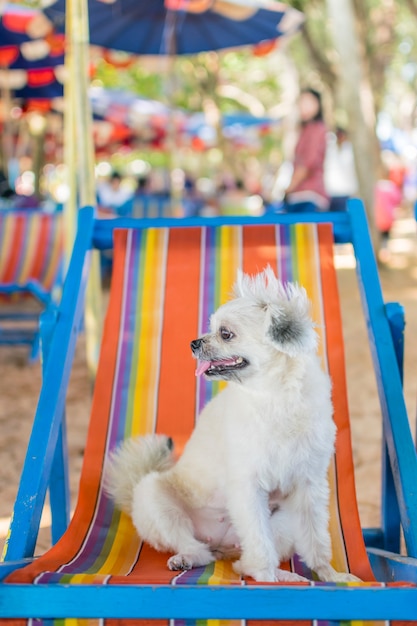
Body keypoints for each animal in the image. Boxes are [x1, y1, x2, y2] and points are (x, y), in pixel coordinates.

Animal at [105, 266, 358, 584]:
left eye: (226, 334)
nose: (194, 342)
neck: (275, 397)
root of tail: (220, 542)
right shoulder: (247, 485)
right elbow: (260, 544)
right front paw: (266, 578)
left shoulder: (308, 487)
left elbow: (316, 540)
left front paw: (329, 574)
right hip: (154, 498)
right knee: (201, 551)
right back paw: (189, 558)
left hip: (282, 519)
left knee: (240, 561)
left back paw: (284, 575)